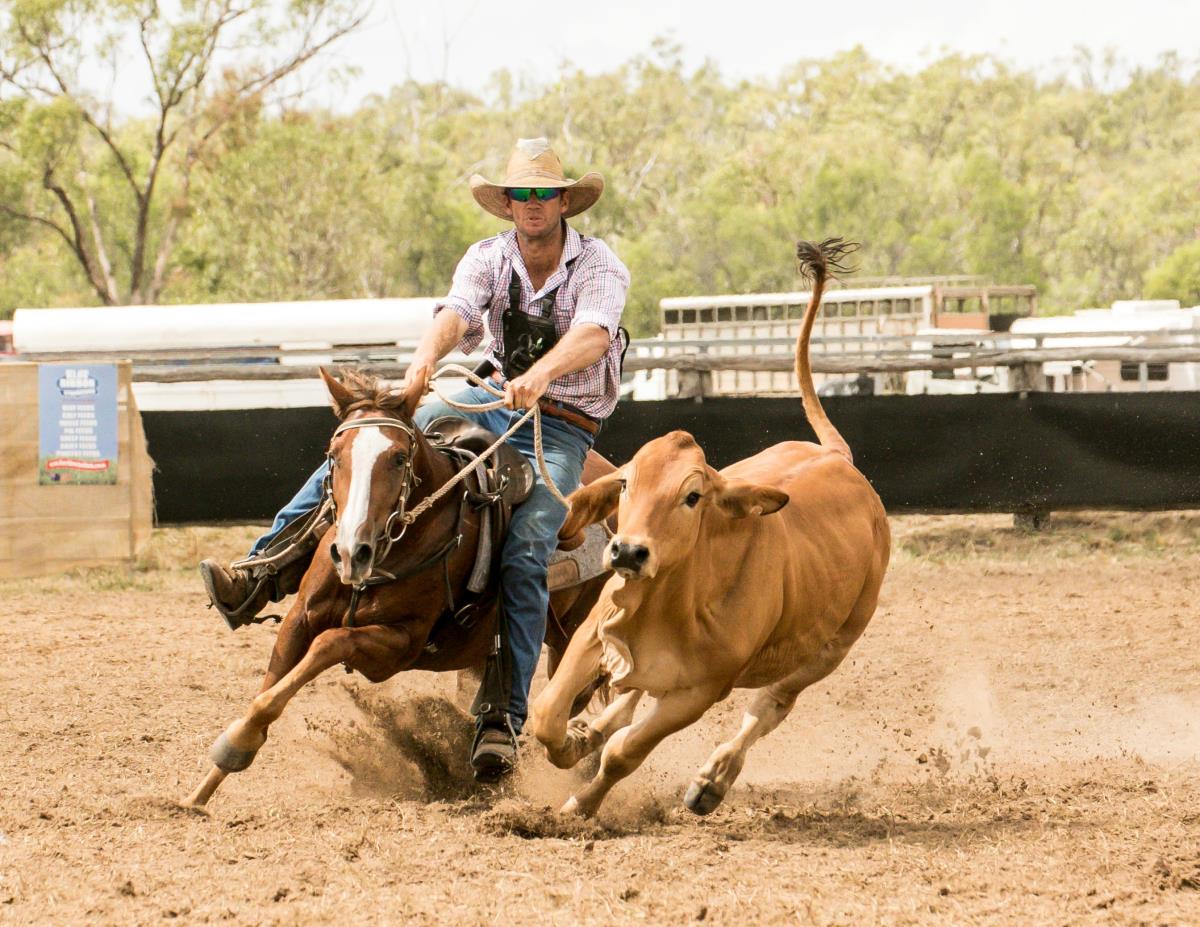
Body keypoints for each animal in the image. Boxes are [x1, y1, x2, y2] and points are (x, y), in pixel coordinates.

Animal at [526, 238, 891, 818]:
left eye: (692, 496)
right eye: (625, 484)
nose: (627, 553)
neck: (676, 603)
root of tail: (838, 457)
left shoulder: (701, 692)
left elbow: (626, 754)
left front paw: (580, 805)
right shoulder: (592, 634)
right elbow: (548, 713)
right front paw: (572, 742)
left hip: (831, 648)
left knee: (770, 706)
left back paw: (712, 781)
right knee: (631, 697)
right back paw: (594, 732)